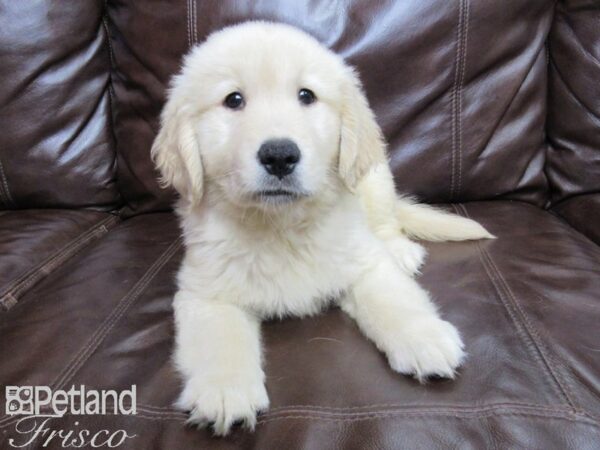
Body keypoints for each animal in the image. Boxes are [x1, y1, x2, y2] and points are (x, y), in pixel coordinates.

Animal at [152, 22, 494, 436]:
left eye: (306, 96)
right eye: (233, 100)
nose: (279, 155)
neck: (280, 226)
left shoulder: (364, 261)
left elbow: (395, 298)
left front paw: (424, 338)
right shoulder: (205, 291)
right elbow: (219, 336)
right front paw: (223, 391)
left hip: (375, 179)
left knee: (388, 222)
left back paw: (400, 250)